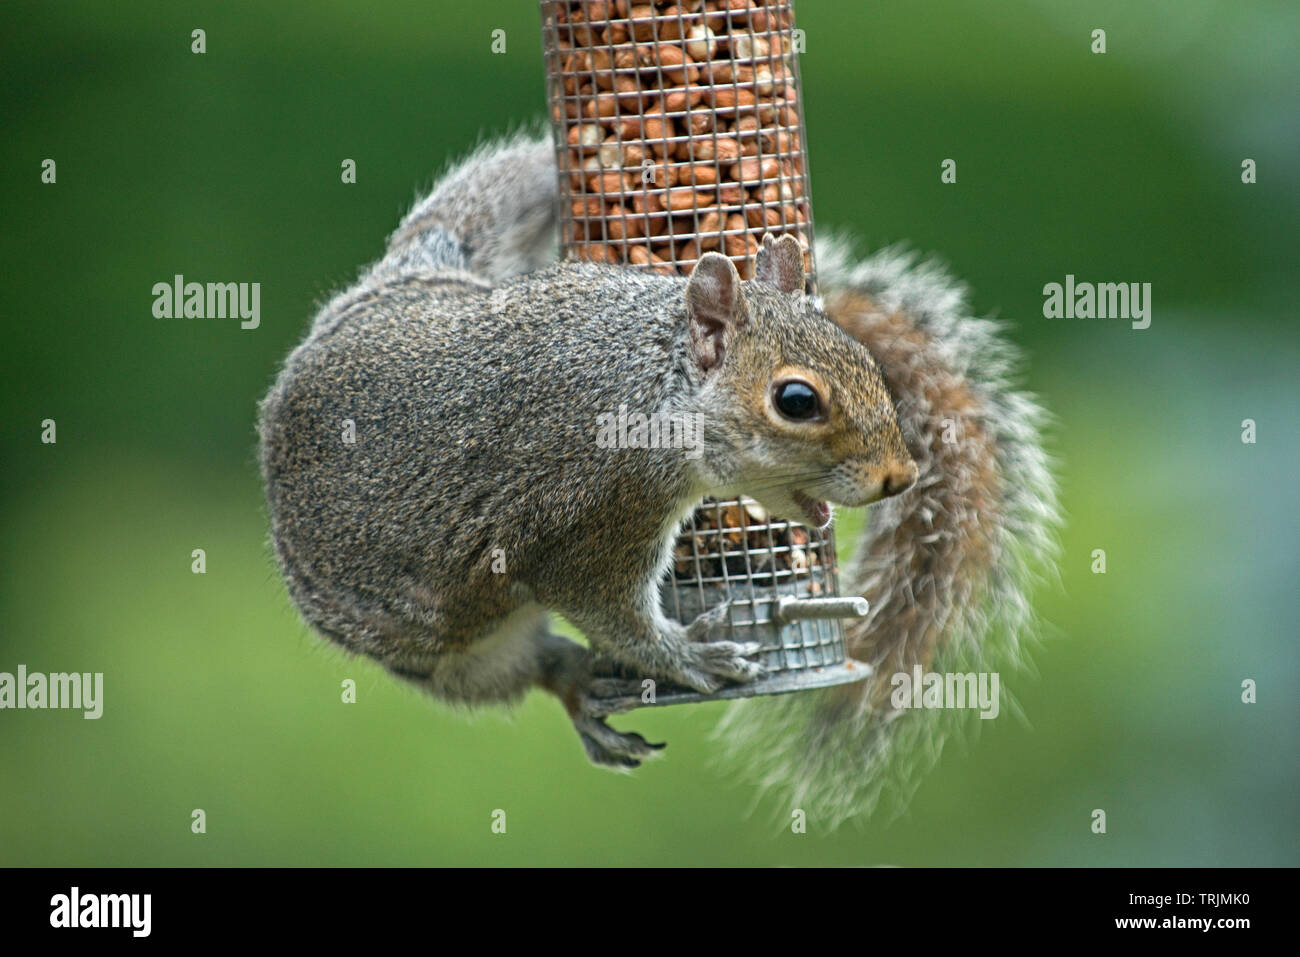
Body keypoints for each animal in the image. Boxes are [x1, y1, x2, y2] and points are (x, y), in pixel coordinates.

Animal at [256, 128, 1055, 816]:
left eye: (864, 359)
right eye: (796, 401)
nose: (899, 476)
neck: (644, 380)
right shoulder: (595, 517)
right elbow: (617, 613)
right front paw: (690, 654)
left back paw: (584, 686)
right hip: (446, 648)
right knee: (522, 663)